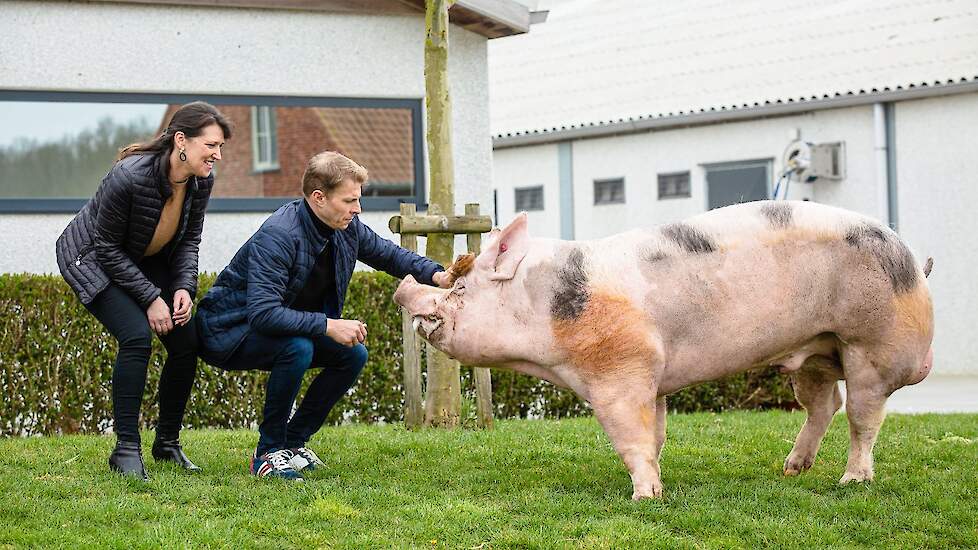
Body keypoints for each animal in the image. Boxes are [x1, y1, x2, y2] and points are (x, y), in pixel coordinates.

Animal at [392, 201, 936, 502]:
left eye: (461, 288)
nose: (402, 288)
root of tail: (916, 262)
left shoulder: (619, 372)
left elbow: (630, 437)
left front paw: (644, 499)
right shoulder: (650, 379)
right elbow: (654, 436)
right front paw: (656, 484)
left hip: (870, 346)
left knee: (863, 416)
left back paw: (851, 482)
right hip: (813, 350)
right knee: (825, 404)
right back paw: (791, 470)